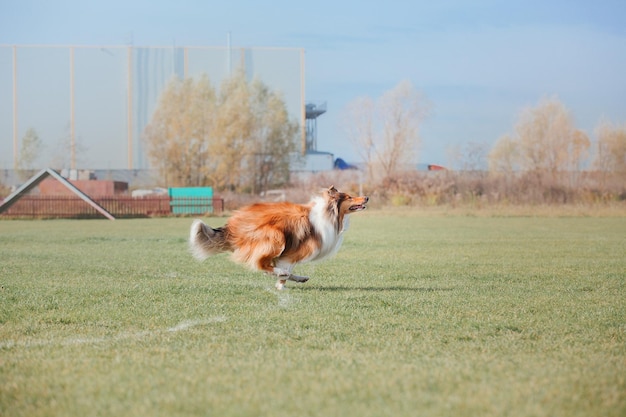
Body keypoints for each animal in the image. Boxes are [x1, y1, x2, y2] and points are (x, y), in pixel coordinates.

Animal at [188, 186, 368, 290]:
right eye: (350, 197)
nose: (366, 197)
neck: (329, 215)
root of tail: (233, 227)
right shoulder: (292, 253)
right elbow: (285, 270)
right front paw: (280, 284)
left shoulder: (289, 254)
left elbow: (287, 270)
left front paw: (286, 279)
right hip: (276, 237)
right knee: (260, 263)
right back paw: (281, 273)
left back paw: (298, 277)